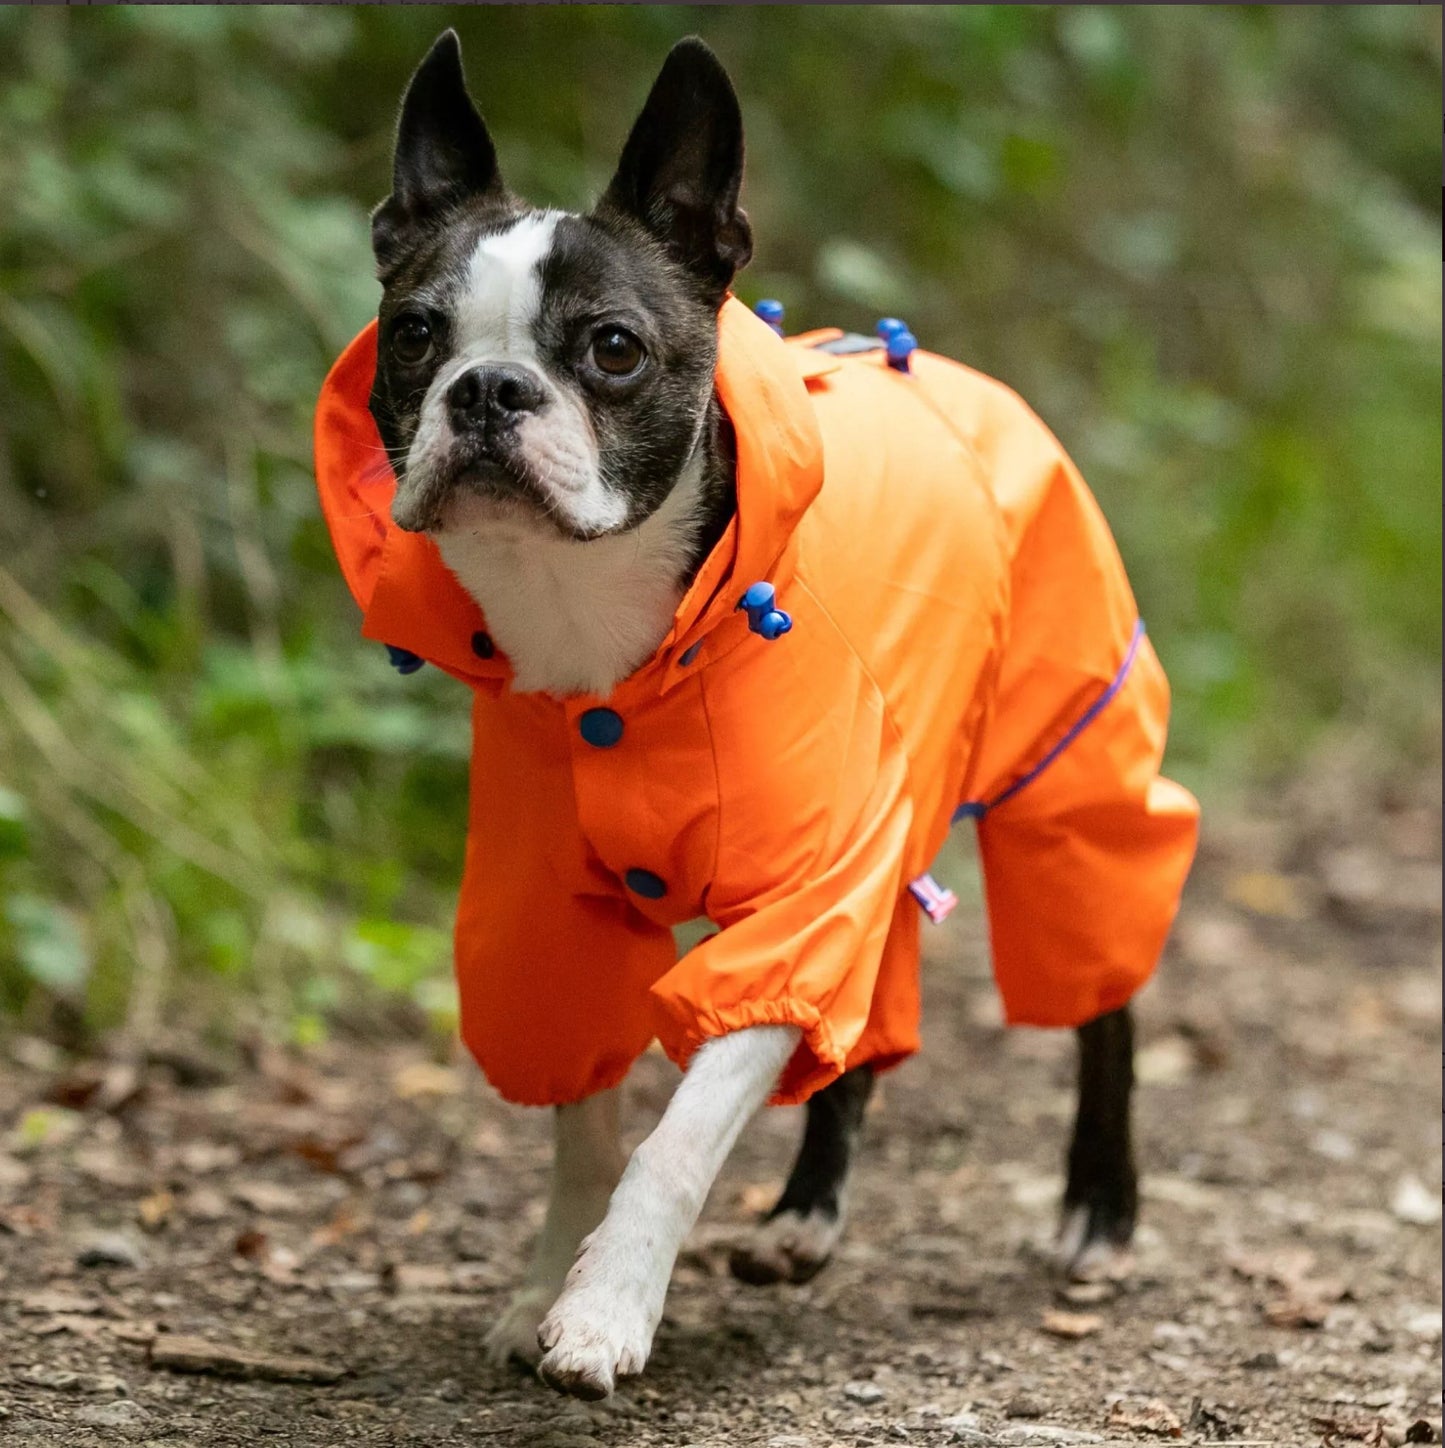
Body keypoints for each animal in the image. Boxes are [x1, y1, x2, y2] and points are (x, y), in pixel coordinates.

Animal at [353, 25, 1175, 1401]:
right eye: (413, 335)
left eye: (613, 347)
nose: (488, 389)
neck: (610, 647)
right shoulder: (552, 919)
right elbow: (585, 1132)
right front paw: (543, 1287)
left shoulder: (799, 900)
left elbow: (676, 1135)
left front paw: (607, 1309)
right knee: (872, 1009)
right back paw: (804, 1218)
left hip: (1064, 759)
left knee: (1098, 984)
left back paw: (1097, 1213)